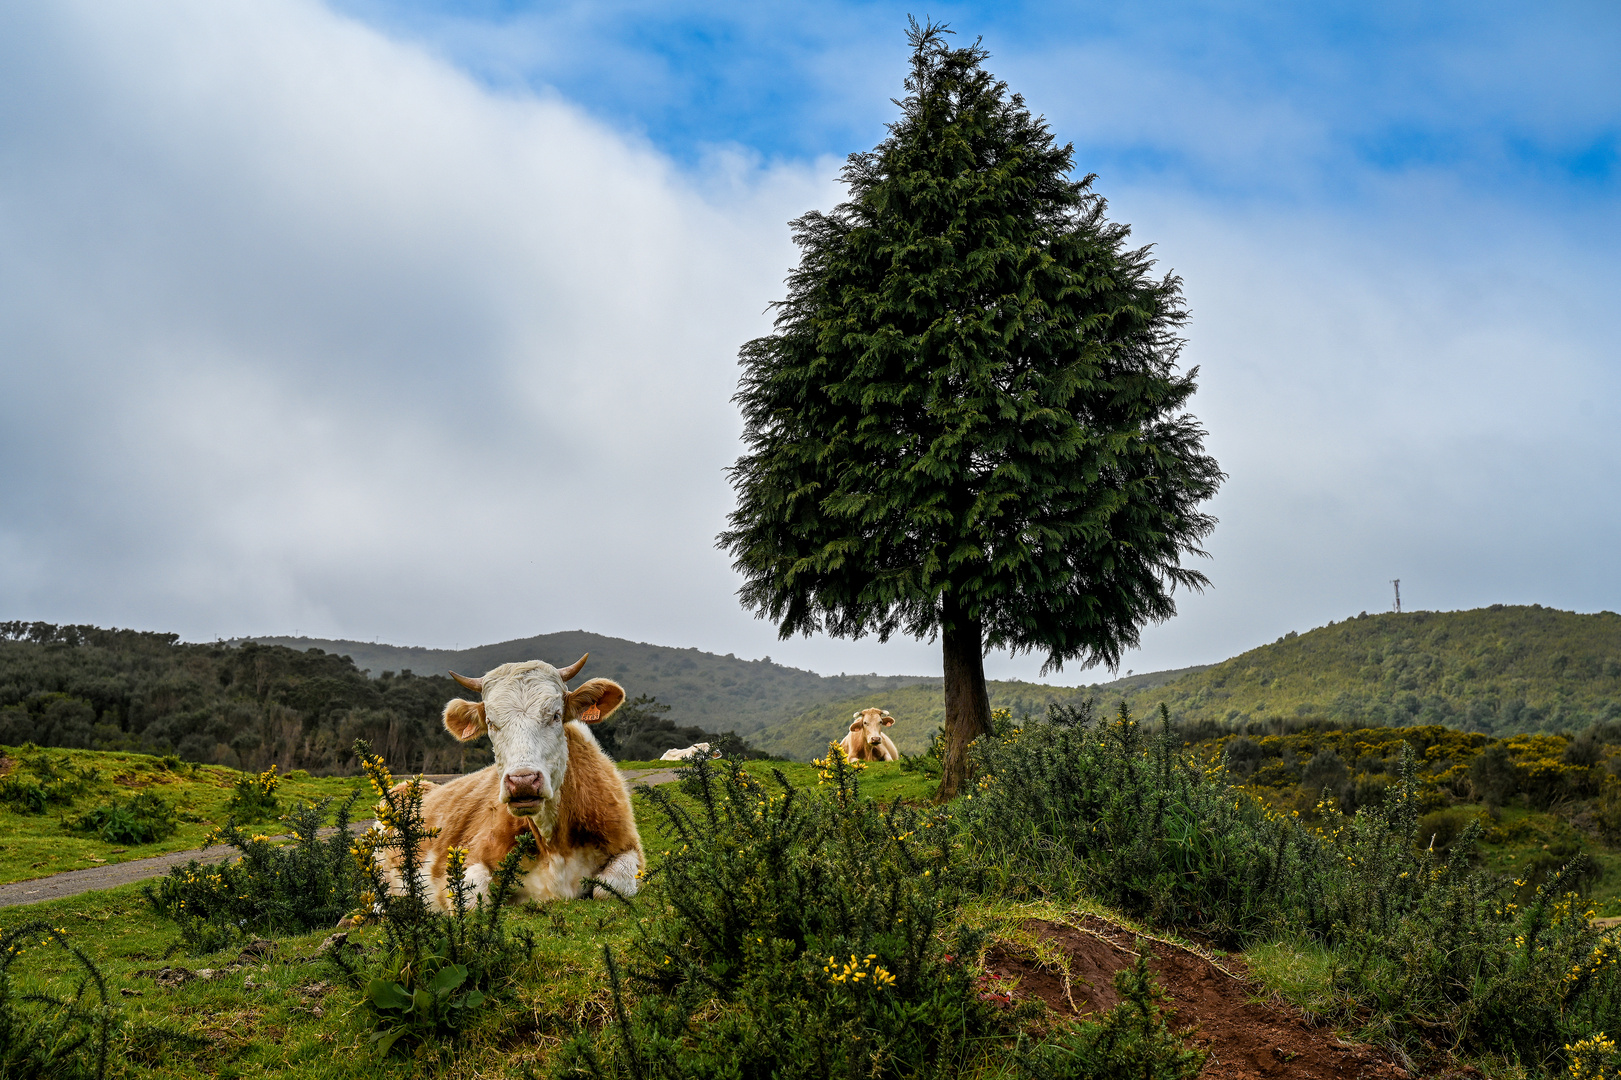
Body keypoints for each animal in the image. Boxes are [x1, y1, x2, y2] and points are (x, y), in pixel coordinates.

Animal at [371, 655, 641, 908]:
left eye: (556, 715)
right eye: (490, 722)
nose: (523, 781)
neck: (555, 845)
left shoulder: (628, 846)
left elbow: (609, 888)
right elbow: (473, 900)